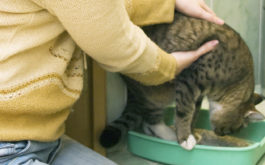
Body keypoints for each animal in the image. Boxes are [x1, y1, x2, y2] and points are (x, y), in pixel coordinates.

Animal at [100, 12, 262, 150]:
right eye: (232, 130)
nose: (220, 134)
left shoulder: (198, 94)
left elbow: (194, 113)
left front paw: (192, 132)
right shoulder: (189, 81)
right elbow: (185, 112)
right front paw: (184, 137)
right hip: (154, 94)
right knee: (151, 120)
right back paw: (170, 135)